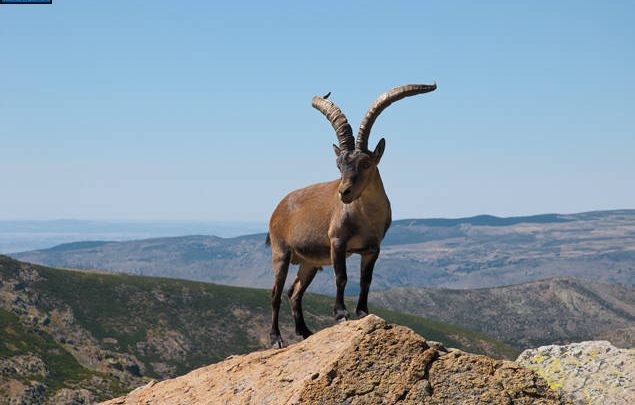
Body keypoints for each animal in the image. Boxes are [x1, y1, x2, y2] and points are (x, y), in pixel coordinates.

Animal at [268, 83, 438, 346]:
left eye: (365, 163)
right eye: (339, 165)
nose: (344, 192)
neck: (365, 218)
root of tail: (279, 208)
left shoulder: (372, 249)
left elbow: (366, 280)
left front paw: (362, 312)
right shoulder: (337, 242)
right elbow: (342, 277)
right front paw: (340, 314)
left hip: (309, 262)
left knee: (294, 292)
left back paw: (305, 332)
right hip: (281, 253)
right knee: (276, 293)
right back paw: (276, 338)